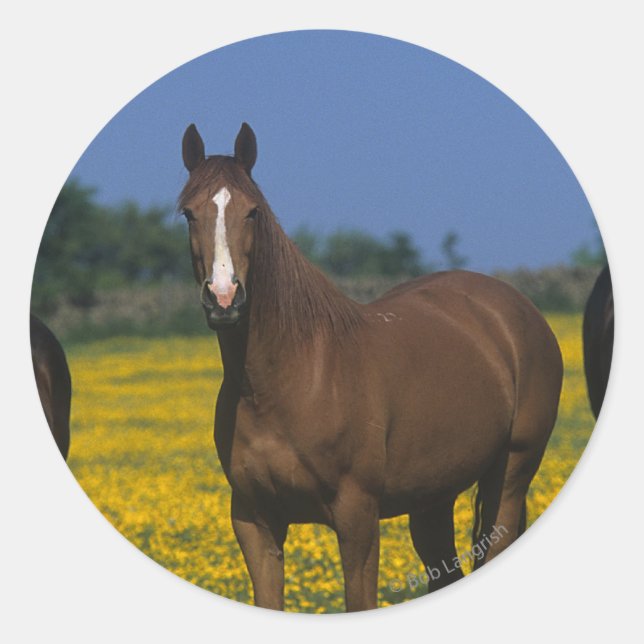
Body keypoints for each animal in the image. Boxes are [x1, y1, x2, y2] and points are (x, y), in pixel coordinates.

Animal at [179, 123, 563, 611]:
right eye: (188, 214)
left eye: (252, 212)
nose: (224, 298)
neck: (287, 381)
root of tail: (516, 309)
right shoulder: (255, 522)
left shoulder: (357, 518)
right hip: (433, 498)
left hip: (510, 475)